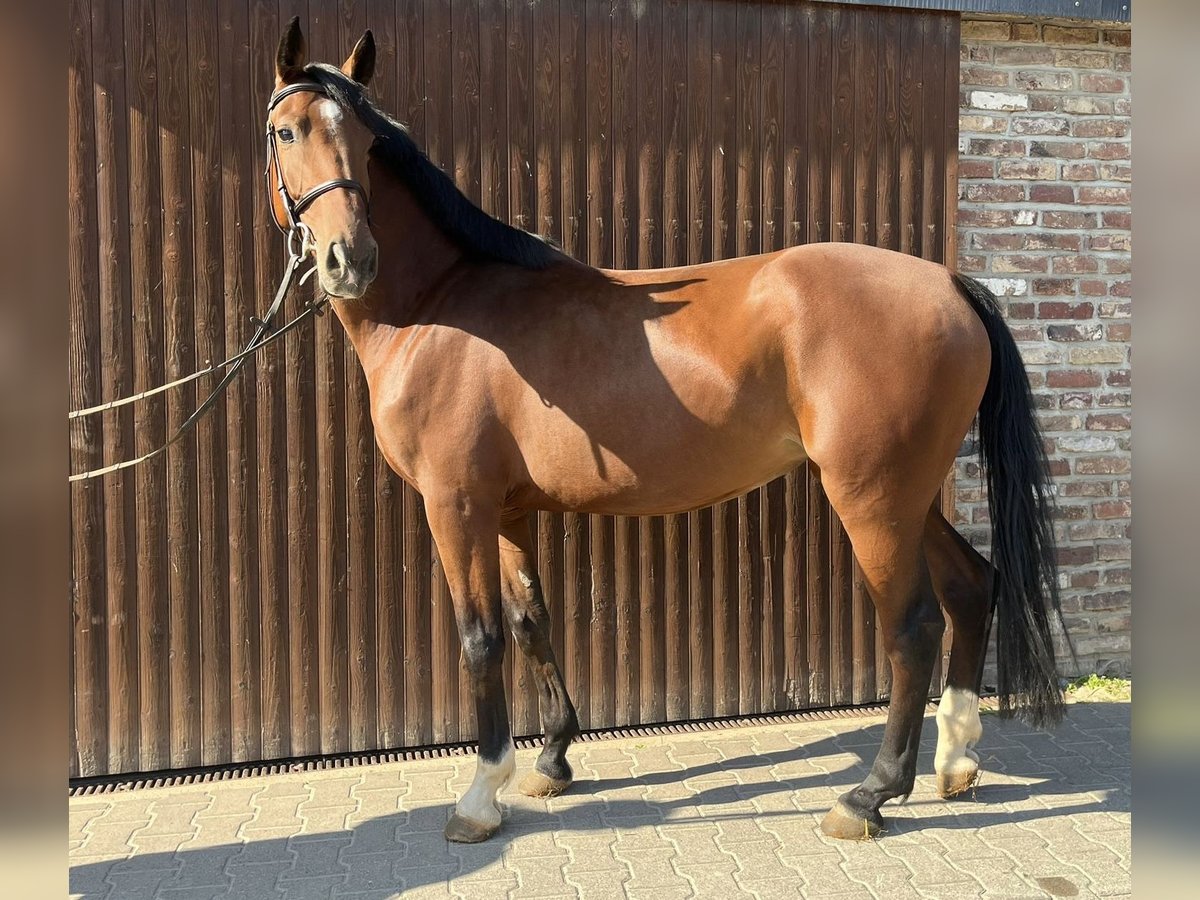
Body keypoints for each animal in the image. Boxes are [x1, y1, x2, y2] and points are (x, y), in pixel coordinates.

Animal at [267, 21, 1065, 844]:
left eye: (365, 142)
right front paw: (551, 760)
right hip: (907, 494)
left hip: (871, 497)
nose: (349, 260)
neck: (441, 307)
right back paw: (957, 761)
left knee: (913, 627)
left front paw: (481, 795)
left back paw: (868, 795)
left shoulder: (456, 506)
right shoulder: (508, 510)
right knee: (971, 586)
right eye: (287, 131)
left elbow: (480, 637)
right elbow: (530, 623)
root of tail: (950, 285)